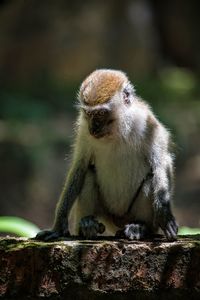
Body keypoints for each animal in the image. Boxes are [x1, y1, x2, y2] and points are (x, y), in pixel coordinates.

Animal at [36, 68, 178, 241]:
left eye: (101, 113)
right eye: (88, 113)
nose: (93, 128)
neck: (115, 131)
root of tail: (117, 222)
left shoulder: (148, 123)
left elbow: (161, 163)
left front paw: (164, 212)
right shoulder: (83, 129)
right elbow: (80, 168)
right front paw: (57, 227)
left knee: (151, 178)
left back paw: (140, 227)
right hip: (105, 215)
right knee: (88, 174)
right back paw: (87, 226)